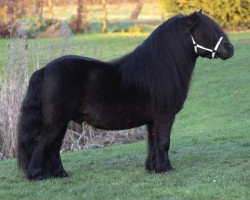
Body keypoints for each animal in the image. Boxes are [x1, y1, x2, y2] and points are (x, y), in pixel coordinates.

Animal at [17, 10, 234, 180]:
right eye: (206, 31)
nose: (230, 49)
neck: (158, 69)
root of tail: (45, 69)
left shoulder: (152, 120)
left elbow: (152, 142)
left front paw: (153, 168)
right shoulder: (165, 117)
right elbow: (164, 142)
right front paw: (166, 168)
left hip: (62, 122)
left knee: (53, 146)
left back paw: (60, 174)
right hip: (55, 121)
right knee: (42, 143)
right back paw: (36, 175)